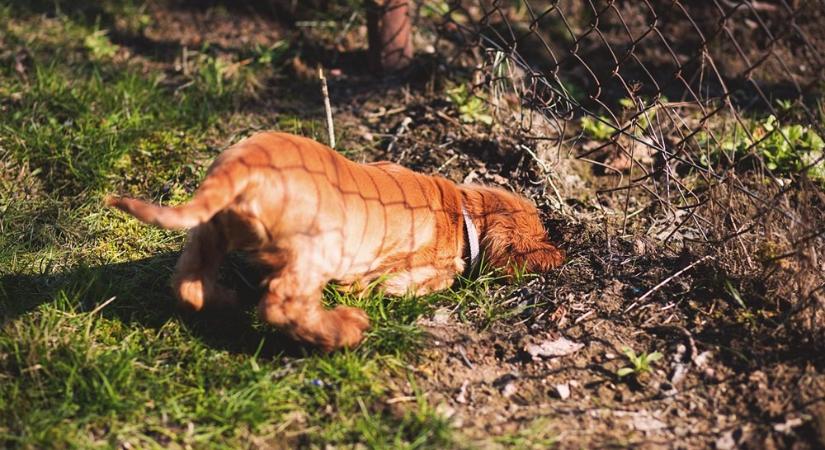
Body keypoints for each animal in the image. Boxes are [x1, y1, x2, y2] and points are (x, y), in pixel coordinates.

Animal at [108, 132, 560, 350]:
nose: (559, 253)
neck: (462, 210)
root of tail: (243, 166)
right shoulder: (413, 273)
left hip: (209, 230)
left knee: (188, 282)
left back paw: (228, 301)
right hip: (316, 250)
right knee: (282, 304)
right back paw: (344, 330)